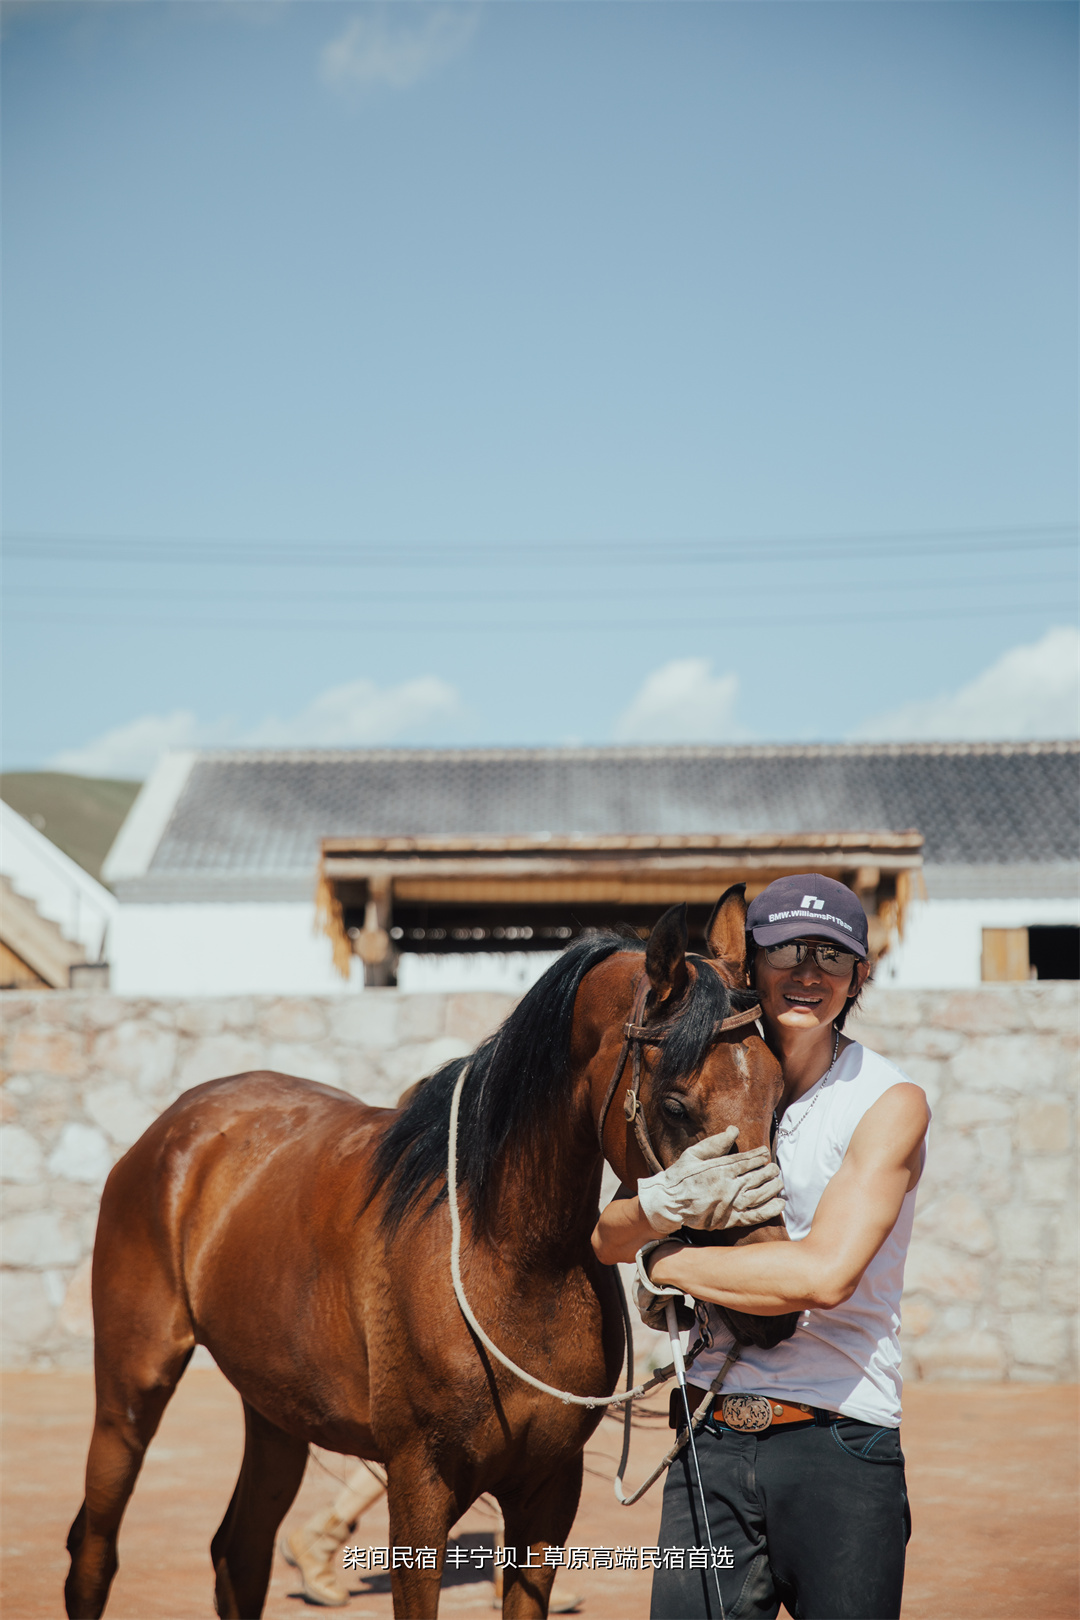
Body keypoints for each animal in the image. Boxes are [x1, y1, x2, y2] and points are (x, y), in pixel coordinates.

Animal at [65, 887, 793, 1620]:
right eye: (674, 1104)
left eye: (777, 1092)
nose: (774, 1309)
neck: (510, 1259)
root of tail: (177, 1125)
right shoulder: (419, 1485)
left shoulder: (548, 1490)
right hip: (131, 1388)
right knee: (94, 1554)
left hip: (274, 1409)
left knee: (237, 1553)